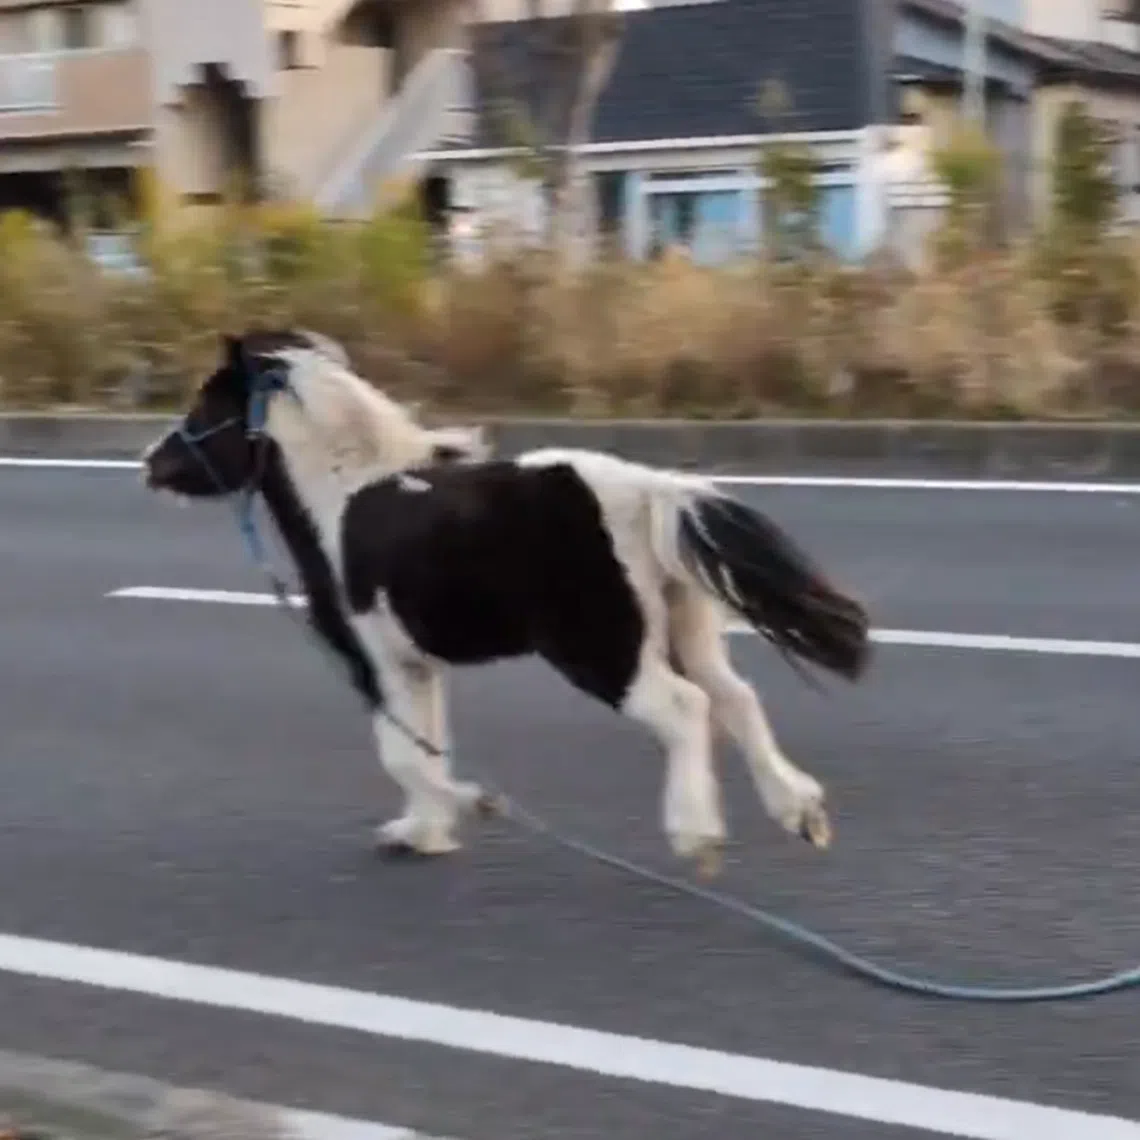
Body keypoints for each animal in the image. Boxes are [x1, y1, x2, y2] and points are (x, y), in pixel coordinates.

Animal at [141, 328, 871, 877]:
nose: (151, 463)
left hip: (601, 649)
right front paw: (423, 831)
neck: (341, 497)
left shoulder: (374, 663)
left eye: (205, 409)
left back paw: (698, 836)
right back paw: (801, 811)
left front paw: (462, 808)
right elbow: (425, 745)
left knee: (687, 709)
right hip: (680, 634)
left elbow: (402, 754)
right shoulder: (416, 665)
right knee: (735, 697)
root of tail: (647, 492)